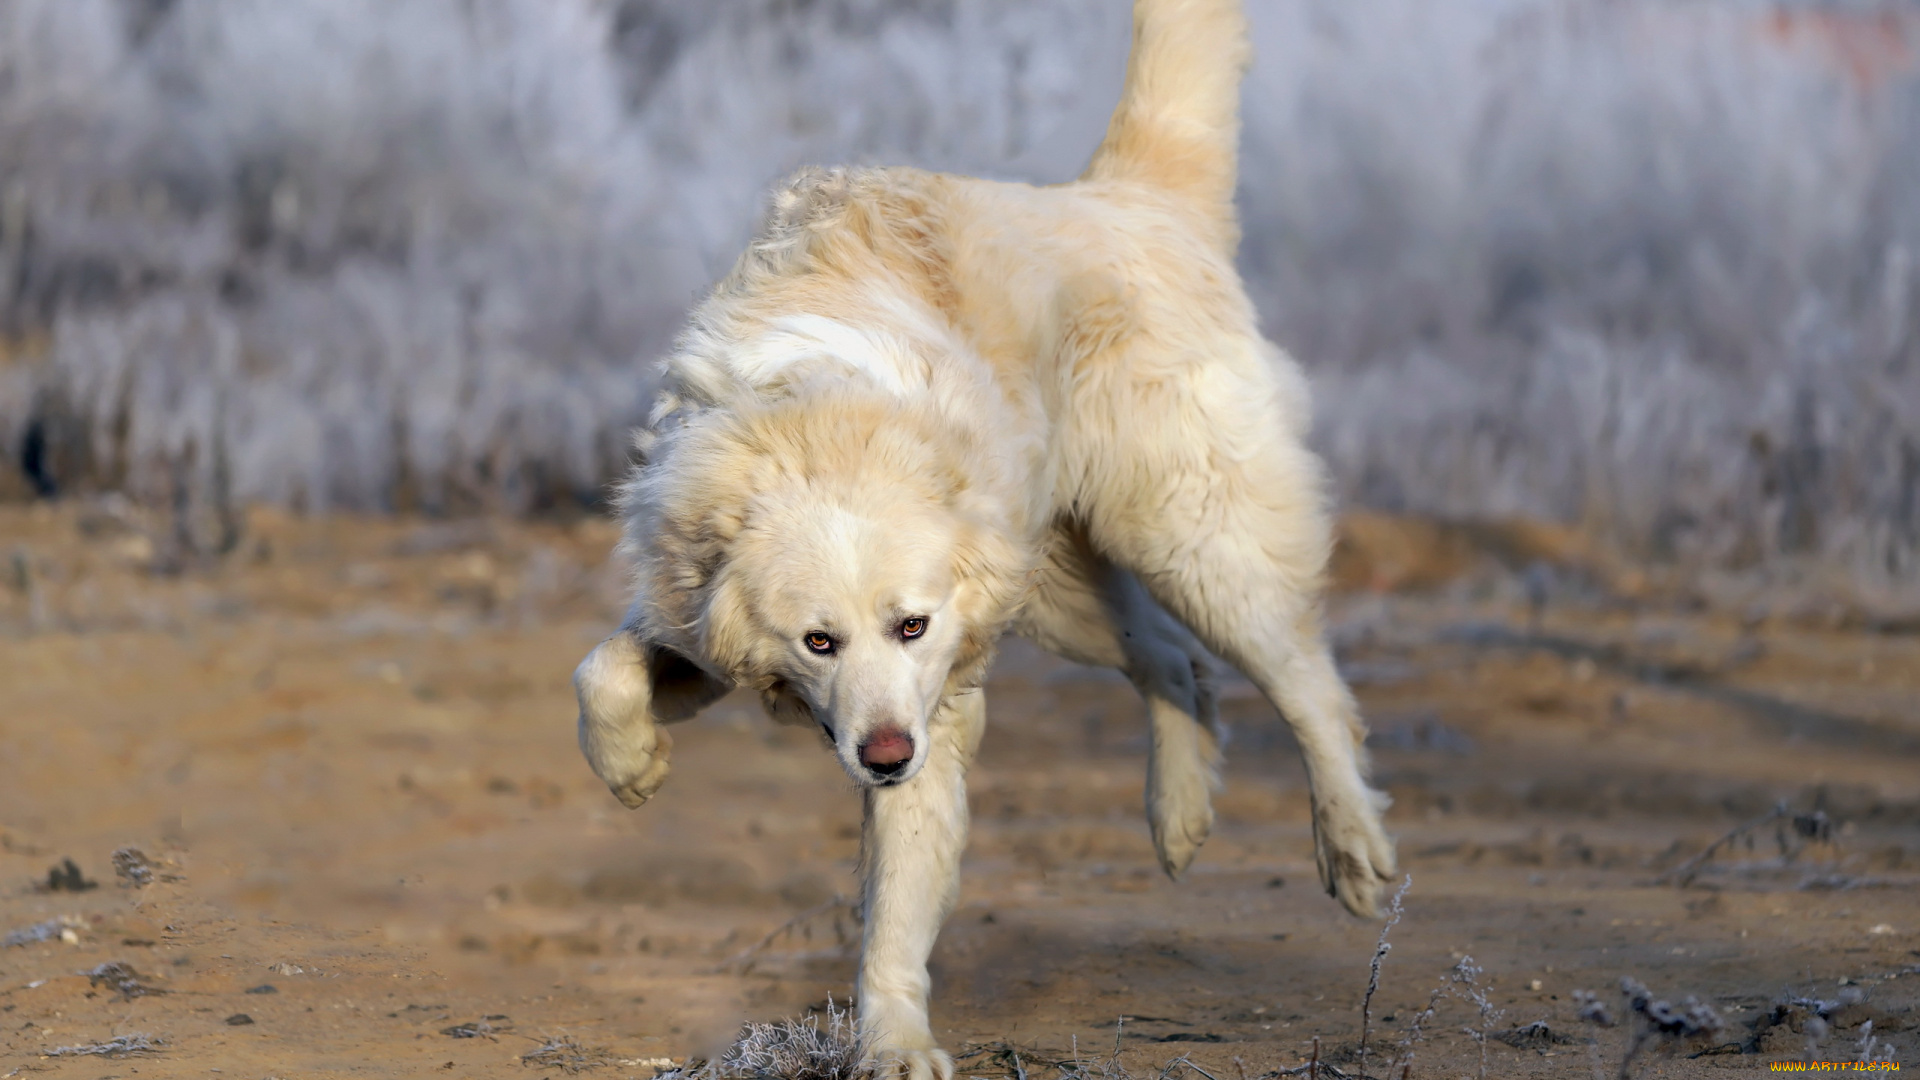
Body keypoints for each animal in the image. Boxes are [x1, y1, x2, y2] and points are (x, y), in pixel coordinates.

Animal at [568, 4, 1397, 1068]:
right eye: (818, 641)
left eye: (912, 626)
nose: (885, 757)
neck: (823, 432)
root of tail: (1124, 197)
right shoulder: (705, 629)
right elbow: (602, 669)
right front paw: (631, 765)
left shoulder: (939, 703)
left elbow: (892, 910)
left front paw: (892, 1045)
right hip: (1052, 597)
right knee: (1175, 663)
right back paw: (1179, 815)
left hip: (1189, 546)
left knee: (1305, 685)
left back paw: (1351, 847)